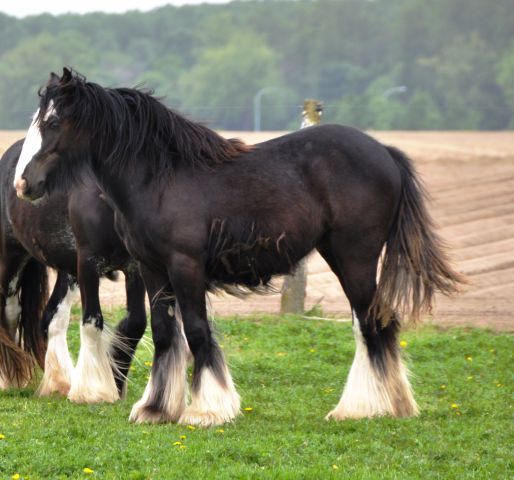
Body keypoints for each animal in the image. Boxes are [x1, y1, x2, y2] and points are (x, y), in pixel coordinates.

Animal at [1, 139, 146, 402]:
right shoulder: (88, 265)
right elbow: (92, 321)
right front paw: (95, 390)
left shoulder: (135, 268)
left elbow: (136, 323)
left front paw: (115, 379)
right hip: (11, 259)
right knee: (10, 312)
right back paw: (11, 381)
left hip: (68, 272)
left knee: (52, 317)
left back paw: (59, 382)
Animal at [17, 69, 464, 426]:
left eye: (53, 121)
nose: (23, 183)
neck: (160, 177)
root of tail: (383, 151)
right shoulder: (152, 269)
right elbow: (164, 334)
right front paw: (157, 408)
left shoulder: (186, 266)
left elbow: (197, 331)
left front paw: (207, 410)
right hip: (338, 255)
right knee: (373, 322)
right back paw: (388, 405)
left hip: (357, 257)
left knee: (373, 323)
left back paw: (362, 408)